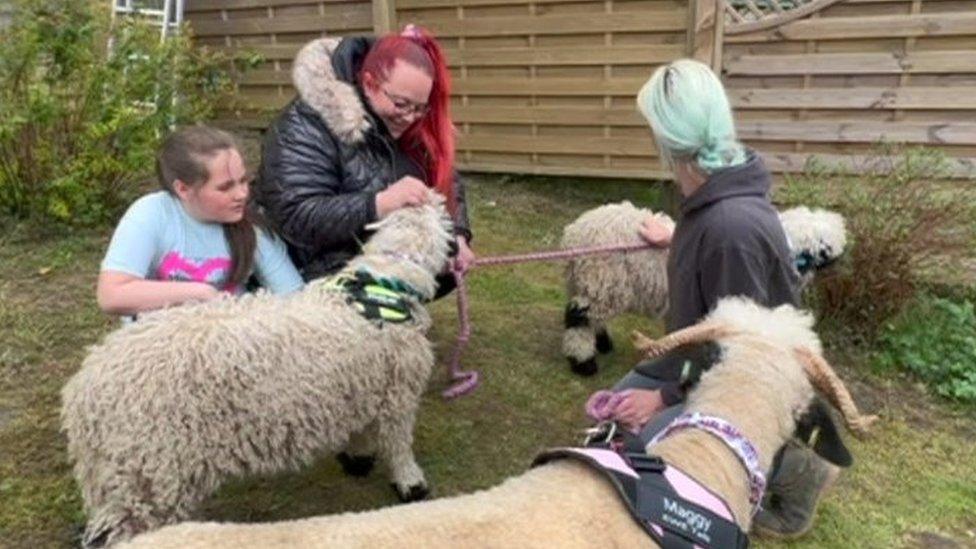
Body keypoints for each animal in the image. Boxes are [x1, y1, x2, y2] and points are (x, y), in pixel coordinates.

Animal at [560, 201, 844, 376]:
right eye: (825, 247)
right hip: (602, 279)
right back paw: (583, 362)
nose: (839, 261)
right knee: (577, 319)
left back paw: (602, 342)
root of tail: (574, 235)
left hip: (593, 284)